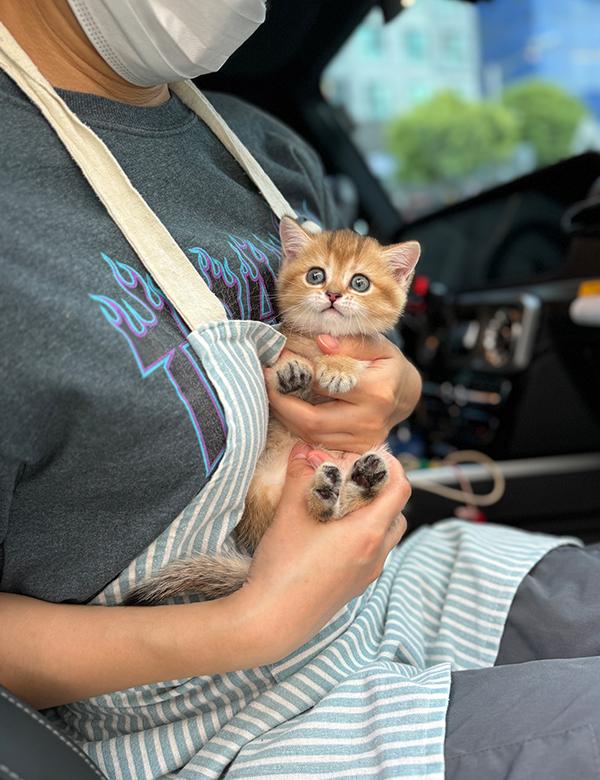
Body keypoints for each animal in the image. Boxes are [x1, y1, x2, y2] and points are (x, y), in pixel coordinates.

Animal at [125, 217, 420, 606]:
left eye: (360, 283)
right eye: (316, 275)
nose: (333, 294)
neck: (318, 343)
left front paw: (339, 366)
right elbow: (285, 359)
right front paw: (292, 369)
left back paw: (363, 479)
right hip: (261, 494)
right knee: (325, 514)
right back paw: (330, 491)